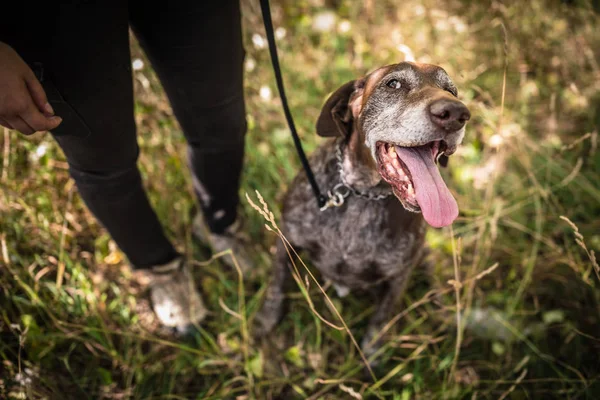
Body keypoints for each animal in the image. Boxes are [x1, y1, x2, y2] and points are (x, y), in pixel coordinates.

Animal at [255, 61, 472, 356]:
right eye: (393, 84)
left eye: (451, 91)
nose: (455, 113)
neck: (363, 194)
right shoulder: (287, 237)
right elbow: (277, 284)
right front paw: (266, 321)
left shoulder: (398, 275)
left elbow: (382, 317)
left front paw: (372, 354)